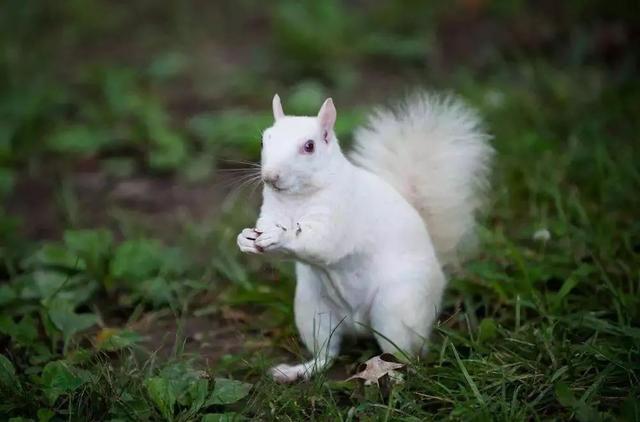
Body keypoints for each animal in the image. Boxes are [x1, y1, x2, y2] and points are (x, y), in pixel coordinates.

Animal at [238, 91, 492, 382]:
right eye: (264, 139)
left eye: (309, 146)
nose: (270, 176)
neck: (296, 199)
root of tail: (358, 324)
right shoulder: (270, 213)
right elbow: (266, 228)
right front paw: (245, 239)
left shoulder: (339, 215)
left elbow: (320, 243)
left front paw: (280, 238)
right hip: (312, 311)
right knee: (326, 354)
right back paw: (296, 371)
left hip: (395, 308)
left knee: (407, 356)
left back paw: (391, 375)